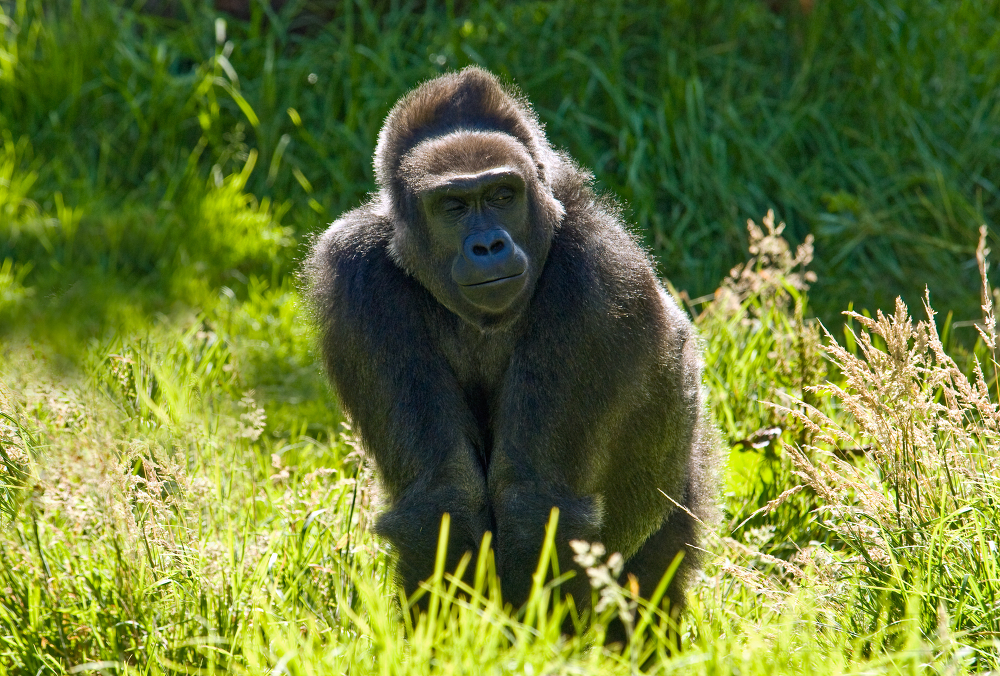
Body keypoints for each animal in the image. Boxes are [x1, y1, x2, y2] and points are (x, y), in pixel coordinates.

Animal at [300, 66, 716, 616]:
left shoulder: (599, 273)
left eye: (502, 195)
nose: (489, 245)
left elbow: (536, 498)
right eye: (453, 206)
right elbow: (442, 493)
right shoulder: (355, 276)